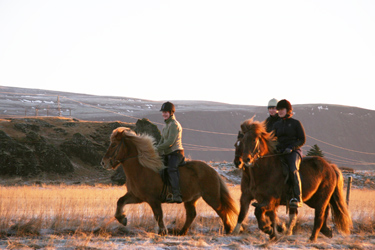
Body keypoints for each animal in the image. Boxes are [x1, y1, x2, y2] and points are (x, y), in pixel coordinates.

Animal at [101, 128, 239, 235]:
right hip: (191, 199)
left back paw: (228, 229)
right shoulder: (136, 196)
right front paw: (122, 218)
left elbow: (158, 215)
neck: (142, 169)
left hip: (211, 197)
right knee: (191, 214)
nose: (104, 162)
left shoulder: (153, 200)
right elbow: (120, 201)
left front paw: (163, 232)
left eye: (114, 145)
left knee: (221, 210)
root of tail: (213, 170)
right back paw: (182, 232)